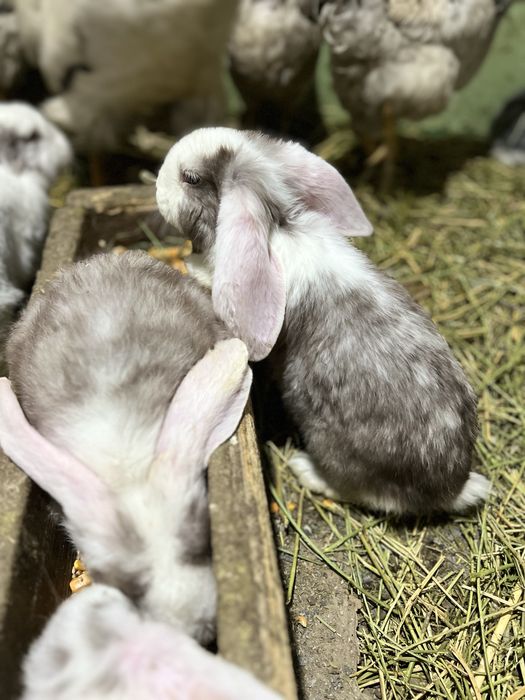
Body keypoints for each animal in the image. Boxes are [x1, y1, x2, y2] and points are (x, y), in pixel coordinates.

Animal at [156, 127, 489, 516]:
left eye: (191, 178)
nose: (157, 185)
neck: (279, 231)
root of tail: (450, 488)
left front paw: (191, 268)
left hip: (330, 443)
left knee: (373, 495)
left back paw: (306, 470)